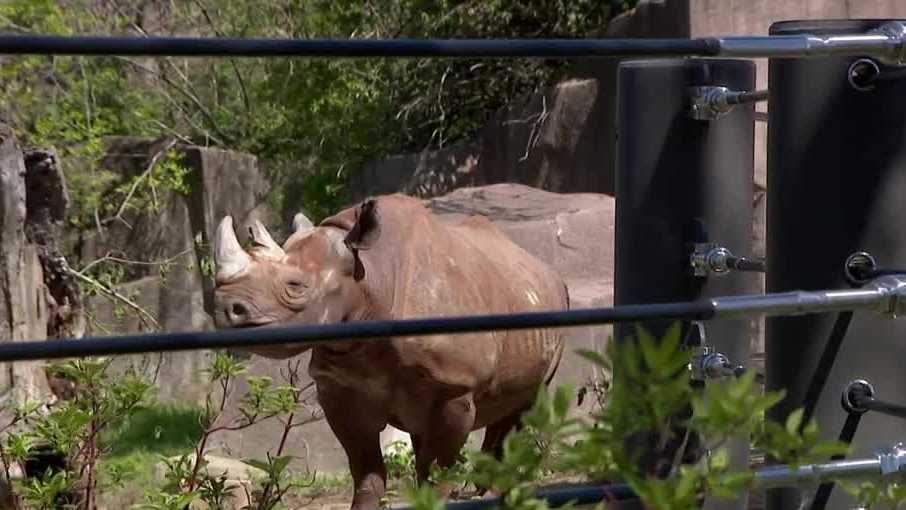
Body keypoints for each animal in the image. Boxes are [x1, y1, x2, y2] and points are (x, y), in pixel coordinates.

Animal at [212, 194, 568, 510]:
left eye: (296, 286)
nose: (227, 308)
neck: (371, 277)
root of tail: (545, 269)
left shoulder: (455, 386)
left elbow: (439, 471)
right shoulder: (340, 385)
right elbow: (366, 470)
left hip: (553, 308)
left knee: (521, 407)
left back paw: (494, 494)